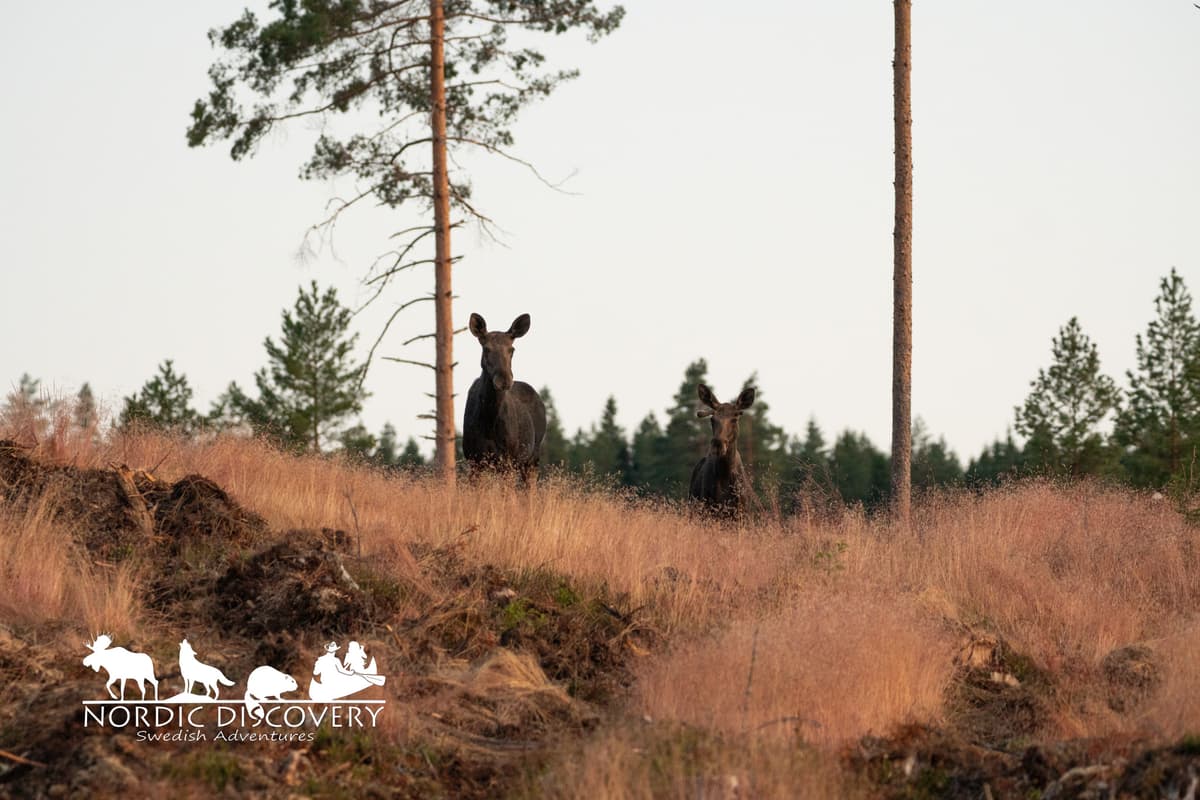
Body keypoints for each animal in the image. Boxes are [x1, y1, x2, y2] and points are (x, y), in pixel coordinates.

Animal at [462, 312, 547, 484]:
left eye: (512, 349)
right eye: (486, 349)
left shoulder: (507, 460)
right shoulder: (474, 460)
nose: (504, 380)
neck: (488, 421)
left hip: (532, 458)